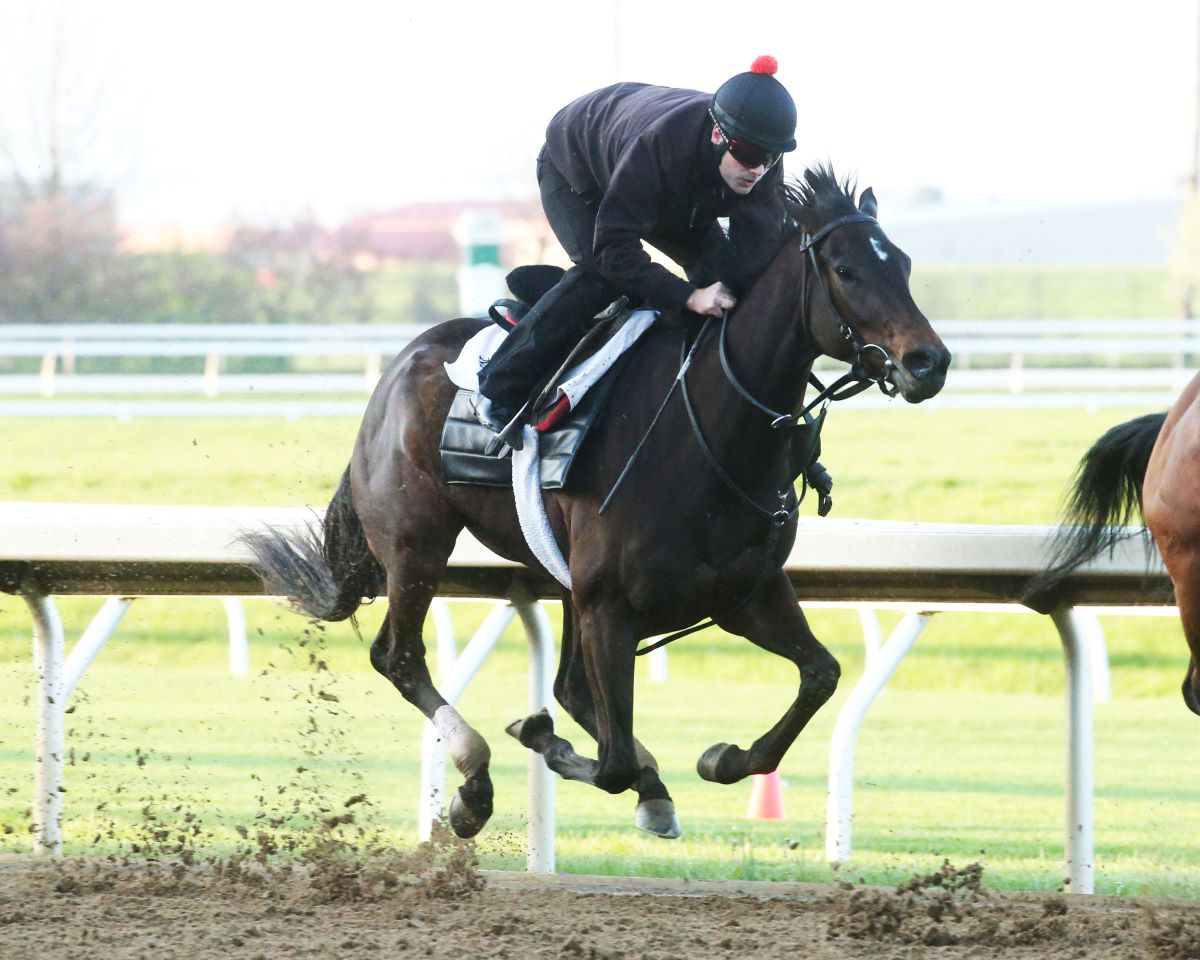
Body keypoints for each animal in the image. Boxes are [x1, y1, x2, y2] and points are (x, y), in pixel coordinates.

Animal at [248, 169, 950, 844]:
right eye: (848, 270)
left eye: (904, 263)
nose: (930, 361)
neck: (709, 430)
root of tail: (395, 370)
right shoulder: (610, 605)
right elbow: (608, 762)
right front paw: (545, 743)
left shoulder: (740, 593)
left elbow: (820, 675)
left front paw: (721, 758)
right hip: (416, 543)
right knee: (399, 656)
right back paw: (475, 786)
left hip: (560, 580)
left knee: (568, 687)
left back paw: (643, 782)